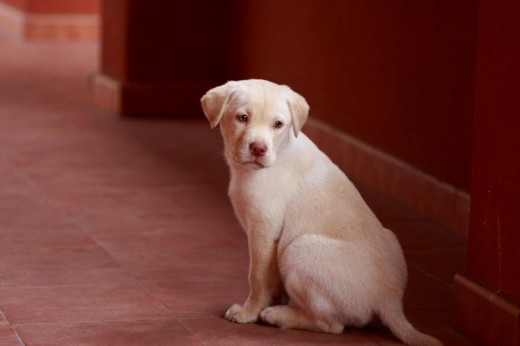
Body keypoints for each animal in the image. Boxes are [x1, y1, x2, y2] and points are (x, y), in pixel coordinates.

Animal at [201, 79, 440, 346]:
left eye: (278, 124)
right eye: (242, 118)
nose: (258, 149)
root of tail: (389, 300)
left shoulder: (264, 230)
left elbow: (257, 277)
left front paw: (249, 312)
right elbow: (271, 278)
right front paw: (275, 298)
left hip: (299, 249)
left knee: (332, 324)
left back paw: (279, 316)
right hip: (388, 236)